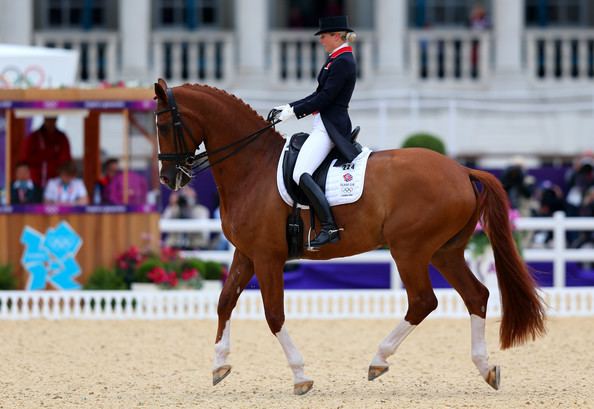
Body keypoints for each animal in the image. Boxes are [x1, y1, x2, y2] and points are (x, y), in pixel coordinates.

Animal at [153, 79, 540, 396]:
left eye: (162, 125)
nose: (168, 179)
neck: (252, 168)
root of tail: (462, 170)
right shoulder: (246, 254)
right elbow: (224, 301)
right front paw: (219, 364)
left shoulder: (267, 257)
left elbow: (274, 314)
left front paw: (301, 376)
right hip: (445, 251)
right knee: (476, 296)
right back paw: (486, 368)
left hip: (410, 250)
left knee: (423, 301)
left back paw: (379, 359)